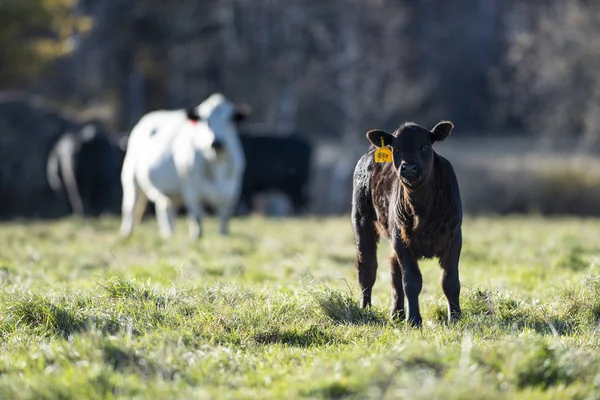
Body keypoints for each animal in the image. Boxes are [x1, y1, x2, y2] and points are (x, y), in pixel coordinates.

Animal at [118, 93, 250, 238]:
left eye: (230, 120)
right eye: (204, 120)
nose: (216, 142)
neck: (216, 162)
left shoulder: (232, 190)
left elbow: (224, 219)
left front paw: (223, 235)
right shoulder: (191, 189)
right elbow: (197, 217)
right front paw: (196, 237)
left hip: (167, 192)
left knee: (165, 210)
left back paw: (168, 235)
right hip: (130, 177)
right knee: (129, 207)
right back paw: (126, 234)